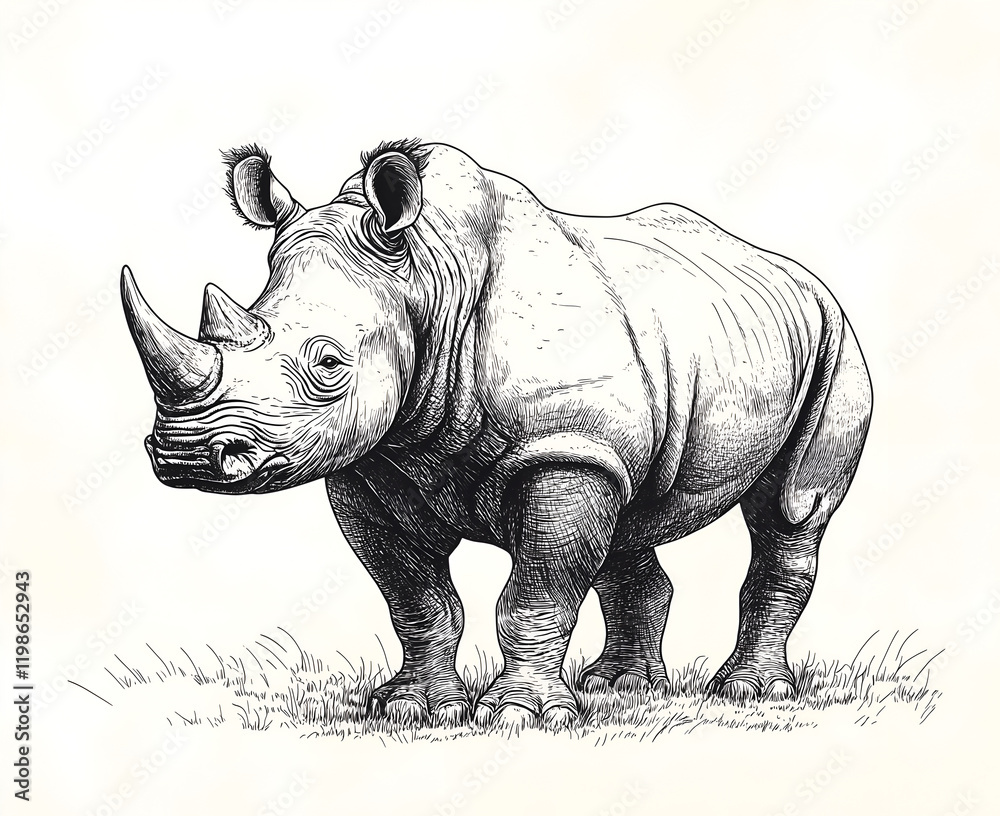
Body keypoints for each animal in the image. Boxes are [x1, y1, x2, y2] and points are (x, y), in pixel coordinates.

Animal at [122, 139, 872, 727]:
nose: (185, 454)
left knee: (790, 510)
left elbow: (539, 589)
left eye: (328, 363)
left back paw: (748, 694)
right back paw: (621, 690)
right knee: (631, 513)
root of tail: (795, 272)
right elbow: (415, 596)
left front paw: (522, 716)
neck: (426, 276)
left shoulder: (562, 450)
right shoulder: (371, 463)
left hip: (836, 341)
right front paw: (414, 708)